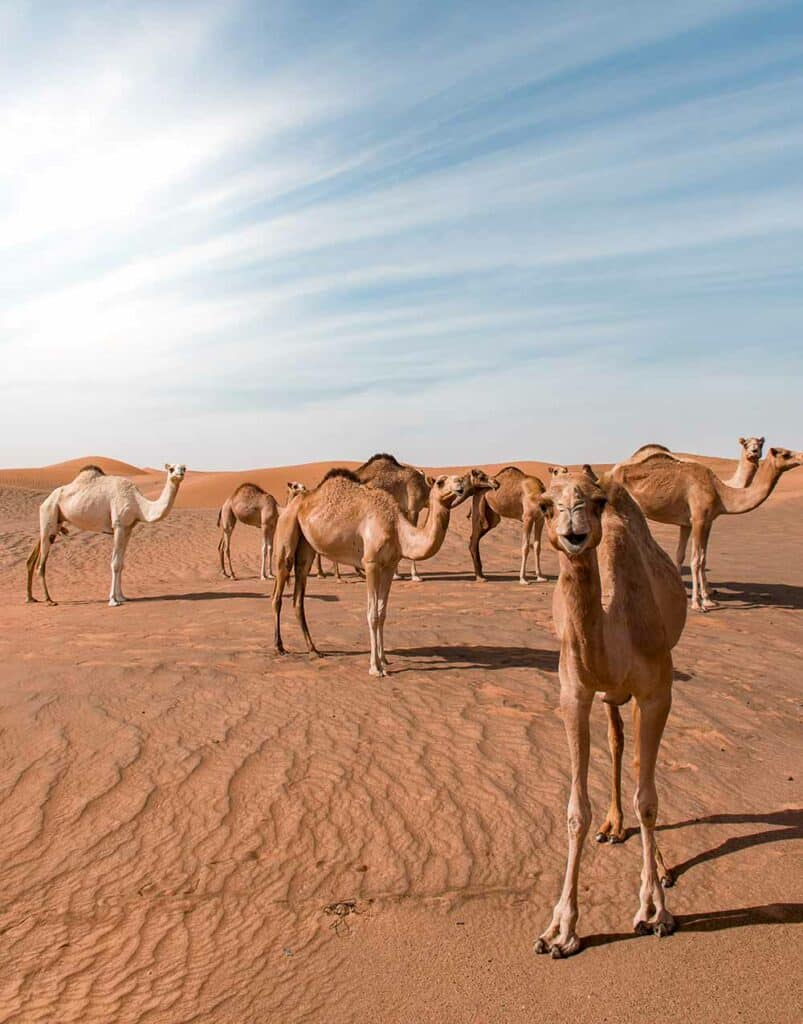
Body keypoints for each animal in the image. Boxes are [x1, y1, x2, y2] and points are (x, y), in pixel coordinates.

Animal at [26, 464, 186, 606]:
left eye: (183, 467)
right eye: (171, 469)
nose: (180, 473)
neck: (137, 504)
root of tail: (46, 500)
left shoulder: (128, 528)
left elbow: (121, 564)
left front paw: (122, 597)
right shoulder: (119, 525)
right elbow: (115, 564)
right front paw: (113, 600)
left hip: (55, 522)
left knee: (36, 552)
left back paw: (30, 598)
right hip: (50, 511)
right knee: (41, 564)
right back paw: (49, 600)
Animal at [272, 468, 491, 675]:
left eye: (459, 479)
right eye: (440, 482)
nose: (460, 483)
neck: (398, 530)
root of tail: (294, 503)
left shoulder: (389, 565)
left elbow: (382, 612)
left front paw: (384, 659)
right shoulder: (371, 563)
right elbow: (372, 615)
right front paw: (375, 668)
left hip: (306, 548)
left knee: (298, 597)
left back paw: (313, 650)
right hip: (286, 533)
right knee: (278, 592)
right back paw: (279, 647)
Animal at [528, 468, 688, 954]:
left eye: (595, 502)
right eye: (547, 505)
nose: (574, 532)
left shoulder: (657, 691)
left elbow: (649, 799)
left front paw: (654, 911)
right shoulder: (574, 693)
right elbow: (576, 810)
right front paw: (560, 930)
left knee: (636, 765)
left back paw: (660, 866)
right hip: (608, 696)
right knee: (617, 743)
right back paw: (614, 827)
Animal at [610, 446, 798, 610]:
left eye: (760, 444)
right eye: (786, 454)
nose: (801, 457)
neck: (720, 492)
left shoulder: (700, 522)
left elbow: (699, 558)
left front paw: (707, 600)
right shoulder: (698, 519)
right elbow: (695, 560)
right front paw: (697, 604)